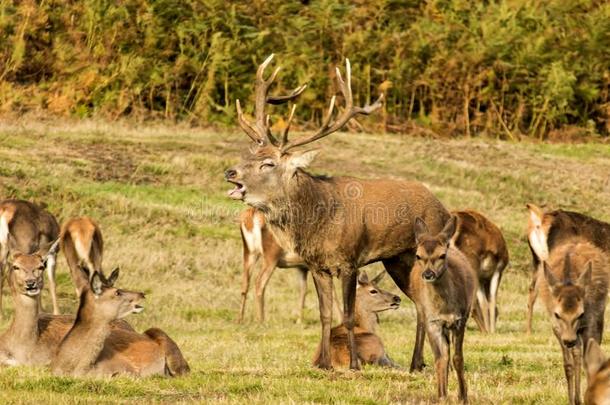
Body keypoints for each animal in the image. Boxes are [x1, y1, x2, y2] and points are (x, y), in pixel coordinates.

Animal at [223, 53, 446, 370]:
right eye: (250, 155)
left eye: (268, 164)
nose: (230, 172)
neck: (320, 220)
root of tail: (443, 206)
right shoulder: (317, 265)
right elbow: (325, 314)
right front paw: (324, 363)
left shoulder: (350, 261)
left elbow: (349, 315)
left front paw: (353, 364)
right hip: (397, 258)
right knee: (418, 302)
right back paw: (417, 363)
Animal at [408, 216, 476, 402]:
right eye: (418, 255)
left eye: (442, 255)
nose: (428, 274)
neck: (445, 308)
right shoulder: (433, 321)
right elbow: (440, 358)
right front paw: (442, 396)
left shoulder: (460, 319)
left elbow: (458, 358)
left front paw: (463, 396)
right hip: (422, 312)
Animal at [540, 238, 604, 402]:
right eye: (557, 314)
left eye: (581, 314)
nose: (569, 340)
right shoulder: (556, 329)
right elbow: (568, 365)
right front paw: (571, 400)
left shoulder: (589, 322)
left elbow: (587, 358)